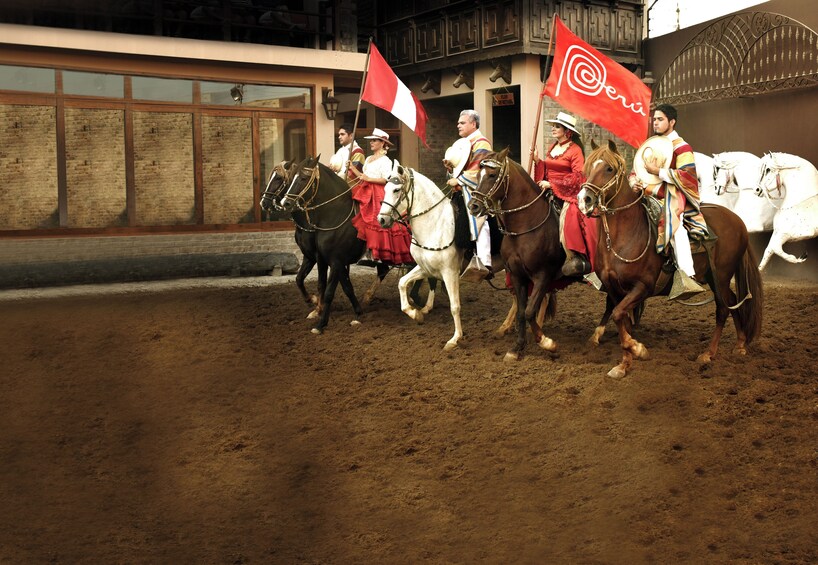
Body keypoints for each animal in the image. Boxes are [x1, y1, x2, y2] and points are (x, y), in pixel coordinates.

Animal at [378, 161, 466, 350]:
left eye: (396, 189)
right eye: (385, 188)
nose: (381, 220)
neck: (435, 225)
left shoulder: (450, 273)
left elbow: (455, 306)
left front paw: (455, 338)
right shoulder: (426, 268)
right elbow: (402, 283)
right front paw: (415, 313)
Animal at [576, 140, 760, 378]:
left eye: (609, 168)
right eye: (587, 167)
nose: (584, 200)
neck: (624, 236)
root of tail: (738, 221)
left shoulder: (642, 286)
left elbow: (617, 315)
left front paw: (638, 349)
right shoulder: (615, 289)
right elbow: (621, 319)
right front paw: (624, 364)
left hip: (720, 276)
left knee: (722, 309)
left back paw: (709, 353)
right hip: (715, 278)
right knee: (733, 301)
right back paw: (740, 345)